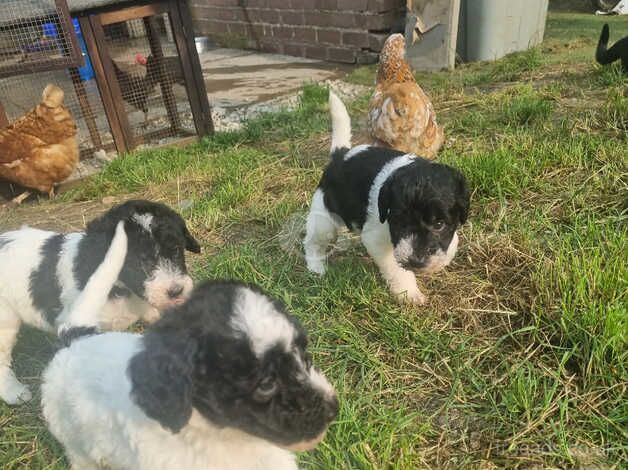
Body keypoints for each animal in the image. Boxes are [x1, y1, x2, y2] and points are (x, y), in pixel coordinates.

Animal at [0, 198, 200, 404]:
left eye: (176, 250)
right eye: (139, 261)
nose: (176, 291)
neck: (121, 287)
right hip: (5, 320)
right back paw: (14, 392)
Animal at [304, 92, 472, 304]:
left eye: (439, 224)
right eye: (399, 221)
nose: (415, 262)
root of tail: (340, 155)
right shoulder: (377, 240)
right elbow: (396, 269)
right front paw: (409, 293)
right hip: (323, 219)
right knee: (312, 242)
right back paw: (316, 267)